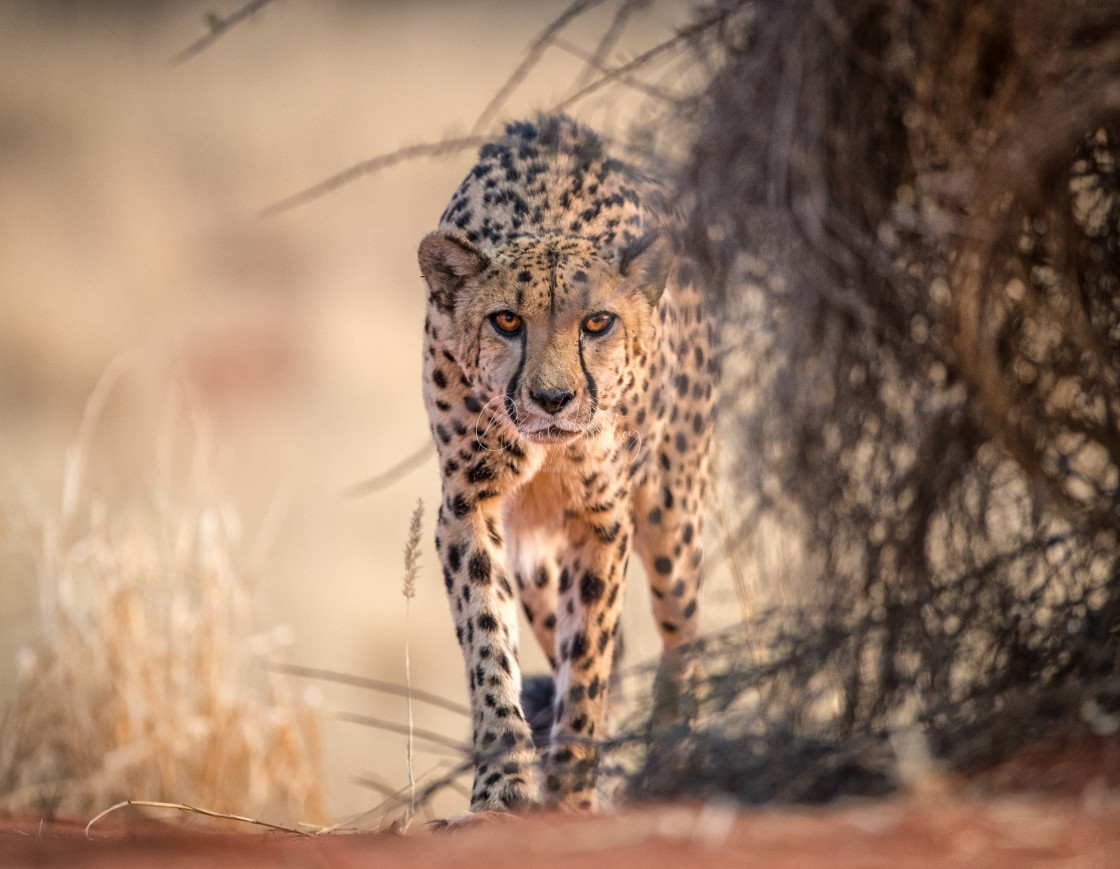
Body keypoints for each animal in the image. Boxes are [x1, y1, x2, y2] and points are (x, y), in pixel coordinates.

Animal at [421, 115, 716, 815]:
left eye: (598, 322)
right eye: (506, 320)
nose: (553, 398)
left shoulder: (602, 517)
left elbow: (588, 662)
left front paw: (572, 797)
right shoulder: (468, 504)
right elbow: (489, 641)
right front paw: (503, 788)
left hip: (672, 515)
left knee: (684, 638)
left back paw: (671, 764)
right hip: (535, 560)